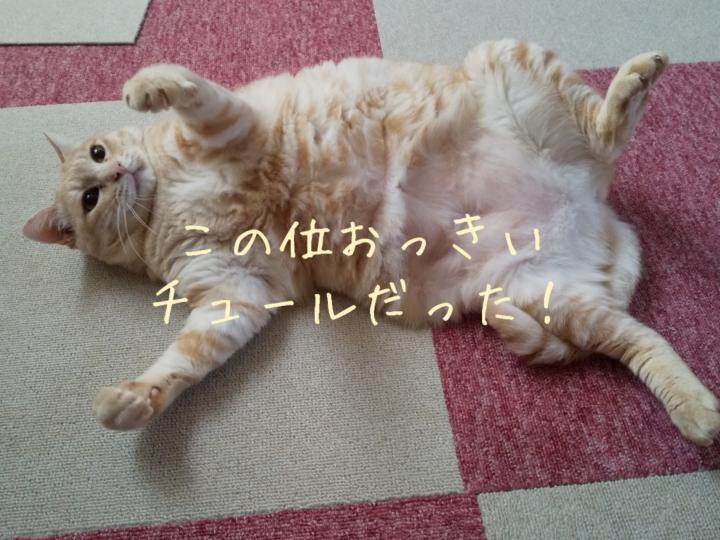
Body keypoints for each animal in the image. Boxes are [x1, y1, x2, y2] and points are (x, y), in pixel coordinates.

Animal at [23, 39, 720, 446]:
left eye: (98, 153)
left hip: (507, 59)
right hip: (545, 293)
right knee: (640, 342)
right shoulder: (236, 294)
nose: (118, 173)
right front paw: (138, 399)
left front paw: (148, 84)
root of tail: (593, 203)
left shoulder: (234, 129)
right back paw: (696, 410)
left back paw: (635, 79)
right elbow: (187, 359)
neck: (166, 201)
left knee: (608, 130)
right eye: (89, 198)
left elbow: (189, 90)